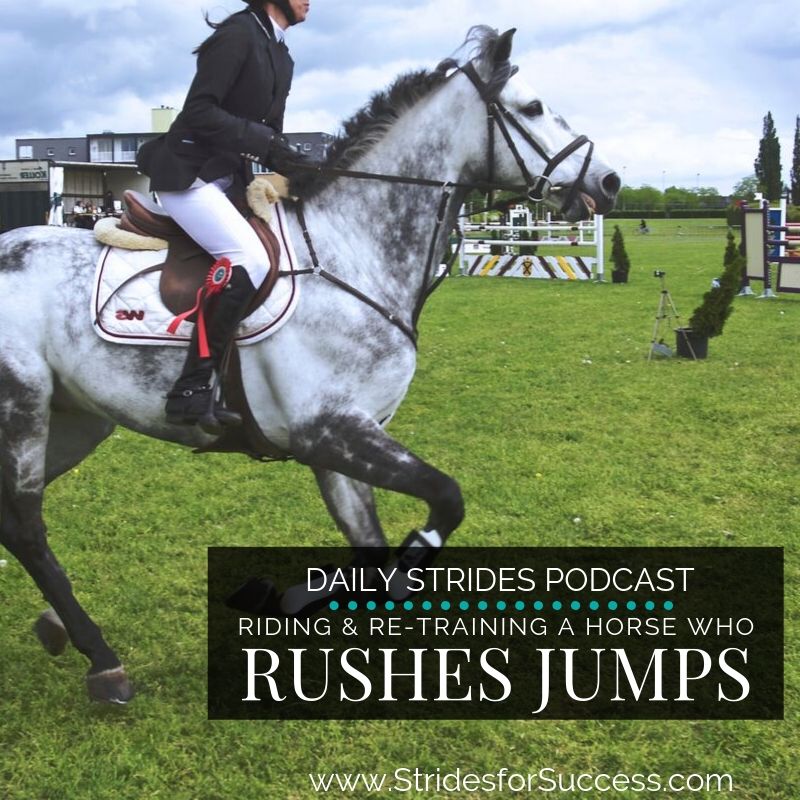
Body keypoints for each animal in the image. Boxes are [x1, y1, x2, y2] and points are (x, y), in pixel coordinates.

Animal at [0, 26, 619, 703]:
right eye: (533, 108)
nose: (611, 183)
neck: (353, 251)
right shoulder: (326, 429)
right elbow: (445, 500)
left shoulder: (346, 440)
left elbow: (370, 544)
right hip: (23, 406)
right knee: (26, 525)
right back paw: (102, 660)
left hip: (78, 419)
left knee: (14, 519)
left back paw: (59, 627)